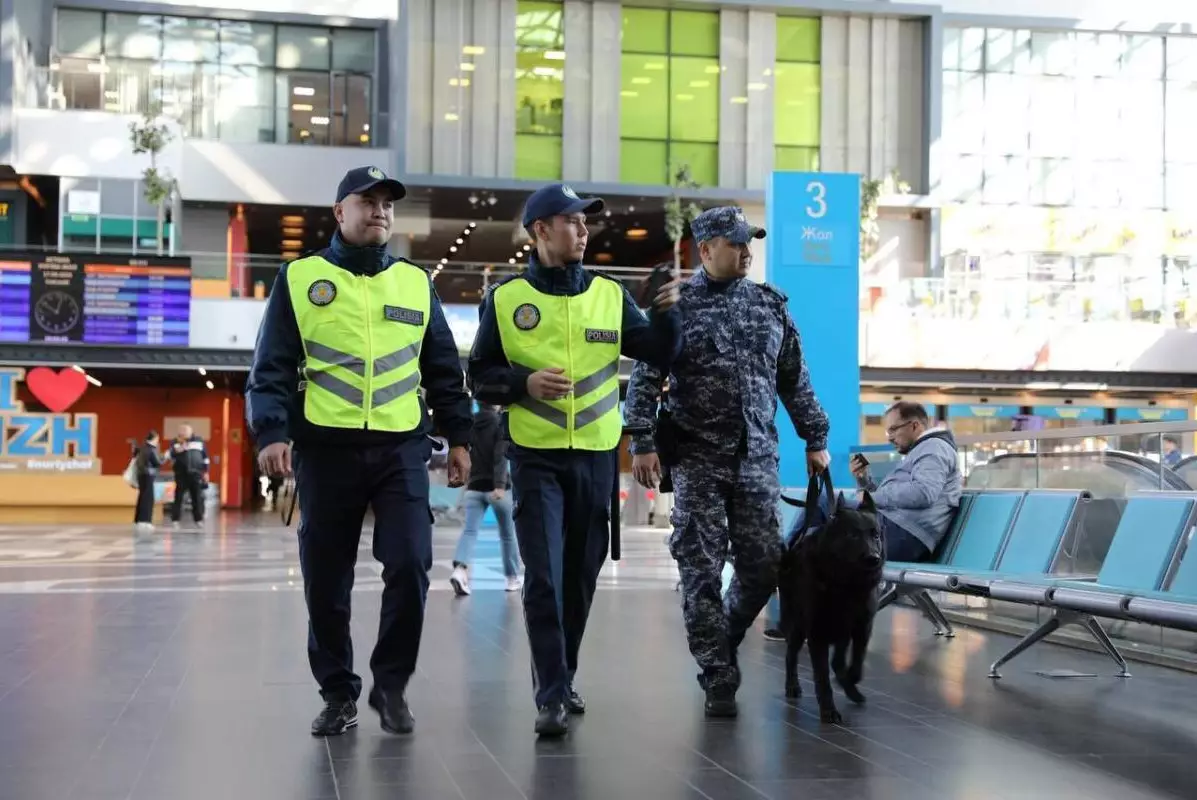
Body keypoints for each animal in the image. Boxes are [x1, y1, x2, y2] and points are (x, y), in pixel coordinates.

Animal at [780, 491, 885, 723]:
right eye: (852, 535)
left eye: (875, 535)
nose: (874, 558)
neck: (845, 585)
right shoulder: (817, 633)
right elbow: (822, 677)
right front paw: (828, 710)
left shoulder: (862, 627)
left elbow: (857, 662)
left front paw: (850, 681)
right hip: (798, 626)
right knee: (791, 654)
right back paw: (792, 685)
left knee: (838, 661)